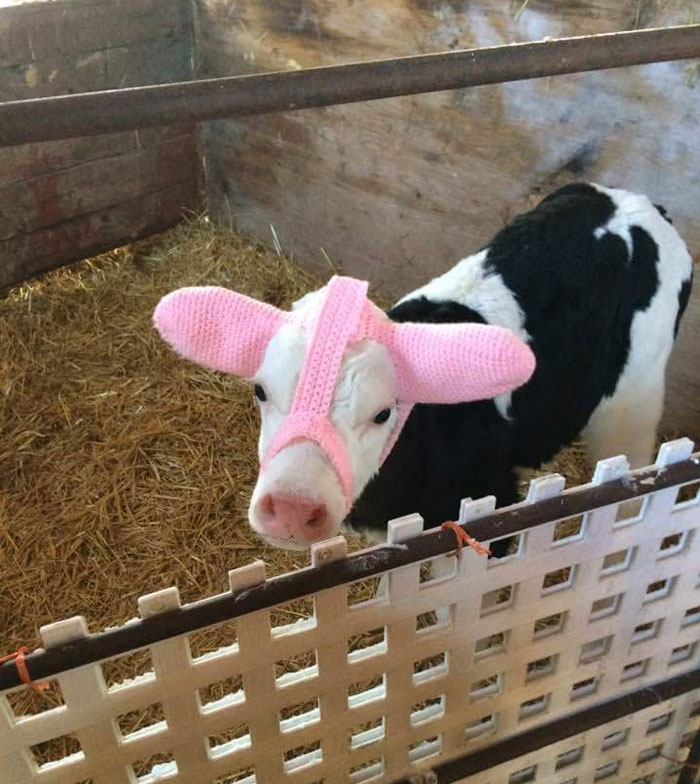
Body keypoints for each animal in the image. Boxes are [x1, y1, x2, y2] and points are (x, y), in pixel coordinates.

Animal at [154, 183, 693, 558]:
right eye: (261, 391)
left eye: (383, 413)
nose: (291, 508)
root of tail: (636, 203)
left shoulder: (493, 505)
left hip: (636, 395)